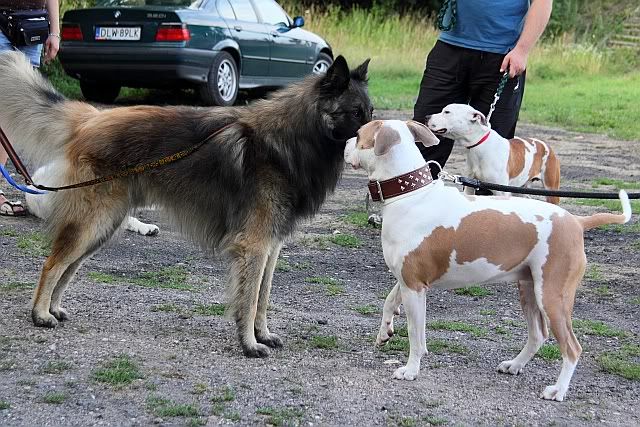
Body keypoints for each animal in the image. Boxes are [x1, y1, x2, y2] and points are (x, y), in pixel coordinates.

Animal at [344, 119, 631, 401]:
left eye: (358, 135)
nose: (344, 142)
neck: (411, 196)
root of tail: (576, 221)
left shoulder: (414, 285)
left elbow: (415, 335)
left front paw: (411, 370)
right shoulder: (408, 280)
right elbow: (391, 304)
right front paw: (385, 332)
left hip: (552, 296)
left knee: (572, 347)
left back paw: (557, 390)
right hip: (529, 289)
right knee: (538, 334)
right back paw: (515, 365)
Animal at [426, 104, 561, 204]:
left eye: (447, 112)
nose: (427, 116)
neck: (479, 146)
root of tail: (547, 146)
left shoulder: (501, 191)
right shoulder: (469, 185)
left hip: (551, 190)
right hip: (521, 188)